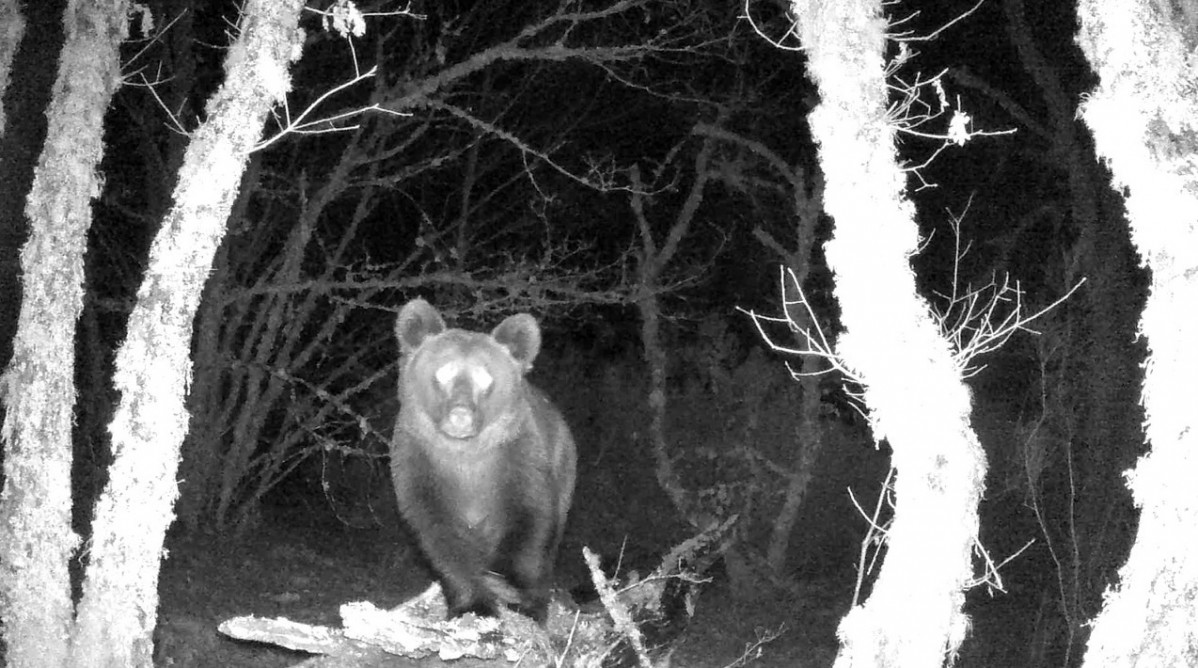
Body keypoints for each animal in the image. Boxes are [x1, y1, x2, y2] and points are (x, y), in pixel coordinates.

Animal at [390, 298, 577, 622]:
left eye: (485, 379)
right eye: (442, 374)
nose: (460, 414)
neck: (465, 454)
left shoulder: (517, 458)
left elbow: (531, 522)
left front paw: (519, 596)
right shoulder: (419, 463)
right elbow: (439, 537)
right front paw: (473, 604)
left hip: (564, 466)